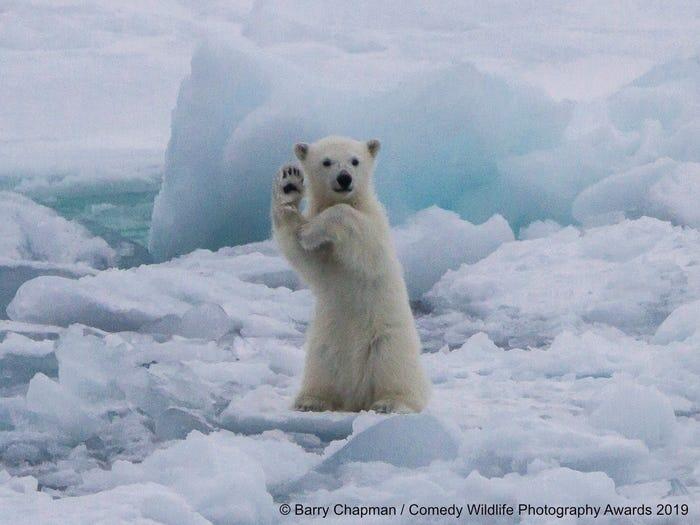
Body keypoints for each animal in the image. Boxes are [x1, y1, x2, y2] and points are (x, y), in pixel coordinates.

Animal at [270, 136, 430, 414]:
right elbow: (304, 256)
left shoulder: (376, 228)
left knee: (394, 368)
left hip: (387, 340)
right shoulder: (326, 257)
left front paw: (310, 230)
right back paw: (311, 400)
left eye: (355, 160)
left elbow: (359, 234)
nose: (344, 178)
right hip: (323, 345)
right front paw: (289, 183)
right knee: (321, 370)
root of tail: (356, 398)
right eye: (326, 161)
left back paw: (390, 402)